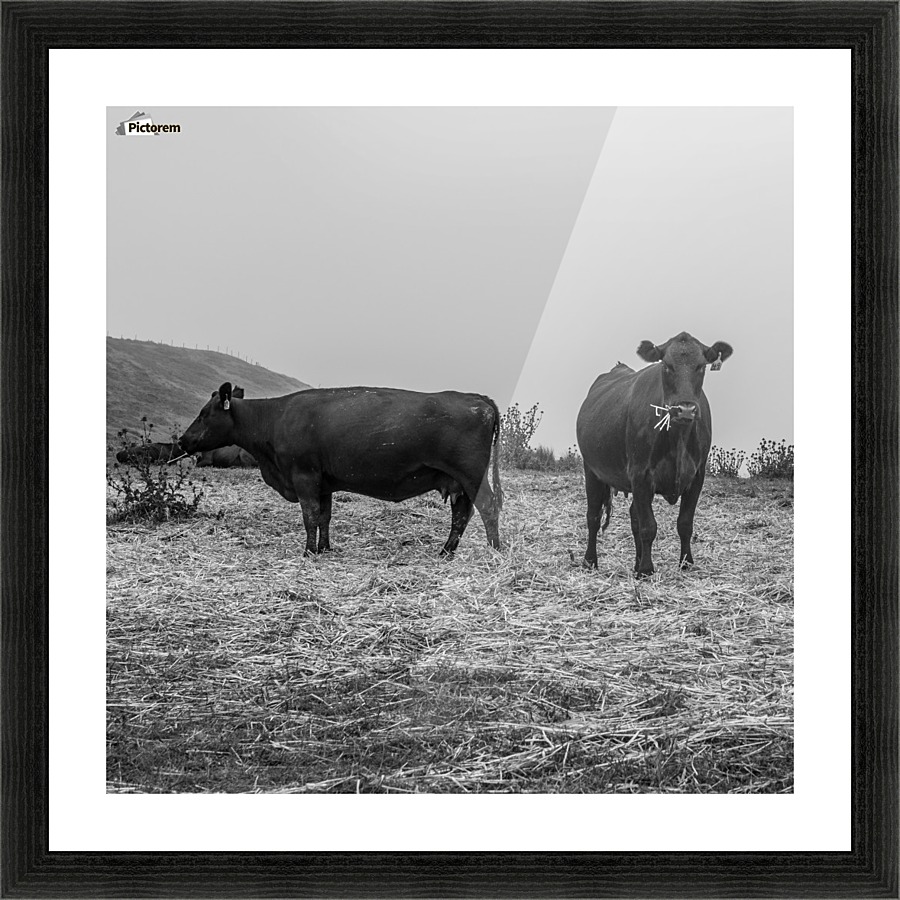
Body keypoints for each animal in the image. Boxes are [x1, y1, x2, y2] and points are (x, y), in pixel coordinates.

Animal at [178, 382, 503, 556]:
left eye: (204, 414)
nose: (182, 440)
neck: (275, 418)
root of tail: (478, 399)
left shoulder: (304, 476)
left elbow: (310, 516)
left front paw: (309, 552)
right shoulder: (323, 483)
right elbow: (324, 517)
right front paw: (324, 548)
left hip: (471, 476)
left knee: (487, 507)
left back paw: (493, 550)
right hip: (458, 482)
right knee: (462, 514)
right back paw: (446, 552)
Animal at [576, 331, 733, 576]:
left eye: (701, 366)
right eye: (666, 365)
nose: (685, 409)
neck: (677, 437)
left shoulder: (697, 475)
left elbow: (684, 523)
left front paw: (686, 562)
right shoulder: (640, 474)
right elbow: (648, 527)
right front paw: (646, 570)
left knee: (633, 518)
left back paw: (636, 561)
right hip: (592, 470)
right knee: (593, 516)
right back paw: (590, 561)